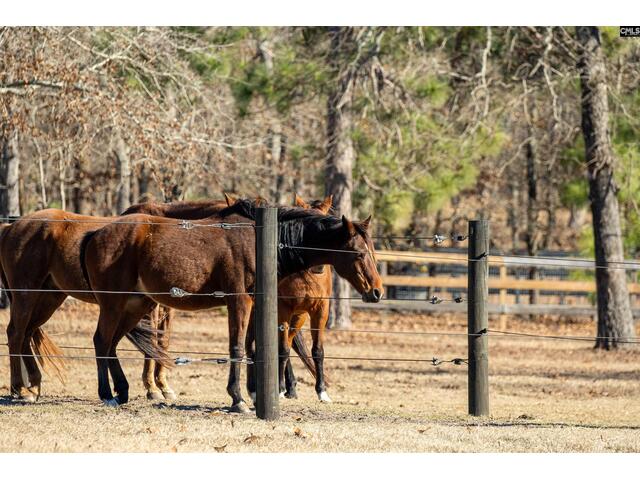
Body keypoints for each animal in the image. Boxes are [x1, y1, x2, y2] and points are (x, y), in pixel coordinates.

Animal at [0, 199, 229, 402]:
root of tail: (10, 227)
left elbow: (162, 342)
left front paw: (163, 387)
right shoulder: (150, 306)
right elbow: (151, 343)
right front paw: (153, 389)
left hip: (49, 298)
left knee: (27, 333)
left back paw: (34, 386)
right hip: (26, 295)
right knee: (16, 333)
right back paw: (20, 388)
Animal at [80, 197, 380, 410]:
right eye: (358, 253)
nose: (376, 291)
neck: (259, 239)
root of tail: (96, 233)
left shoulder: (257, 305)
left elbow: (251, 347)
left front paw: (254, 393)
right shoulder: (239, 301)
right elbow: (236, 346)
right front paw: (238, 399)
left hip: (134, 306)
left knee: (112, 344)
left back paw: (122, 391)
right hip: (114, 305)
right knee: (101, 341)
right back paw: (107, 395)